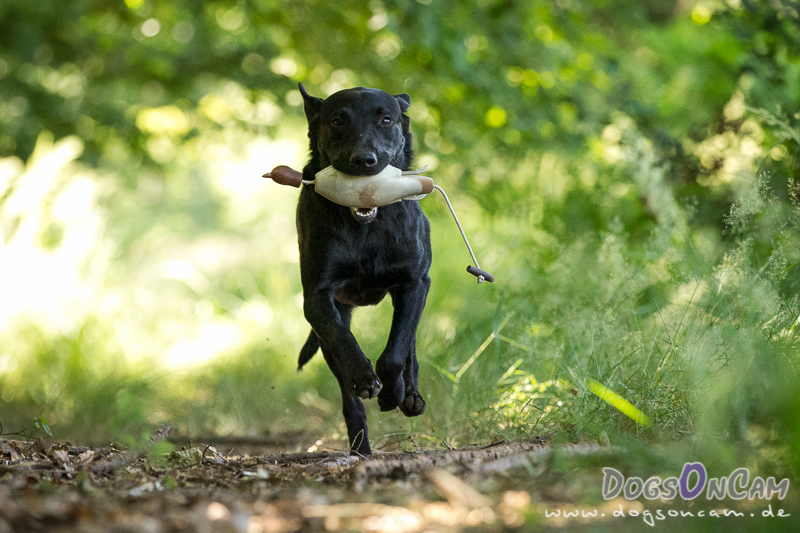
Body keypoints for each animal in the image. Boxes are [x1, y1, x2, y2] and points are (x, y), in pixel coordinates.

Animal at [295, 83, 431, 455]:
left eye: (386, 119)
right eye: (338, 120)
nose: (363, 160)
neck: (367, 229)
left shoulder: (415, 283)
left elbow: (396, 352)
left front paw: (393, 392)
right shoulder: (317, 298)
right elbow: (343, 337)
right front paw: (363, 377)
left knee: (409, 343)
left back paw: (409, 395)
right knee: (347, 394)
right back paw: (361, 445)